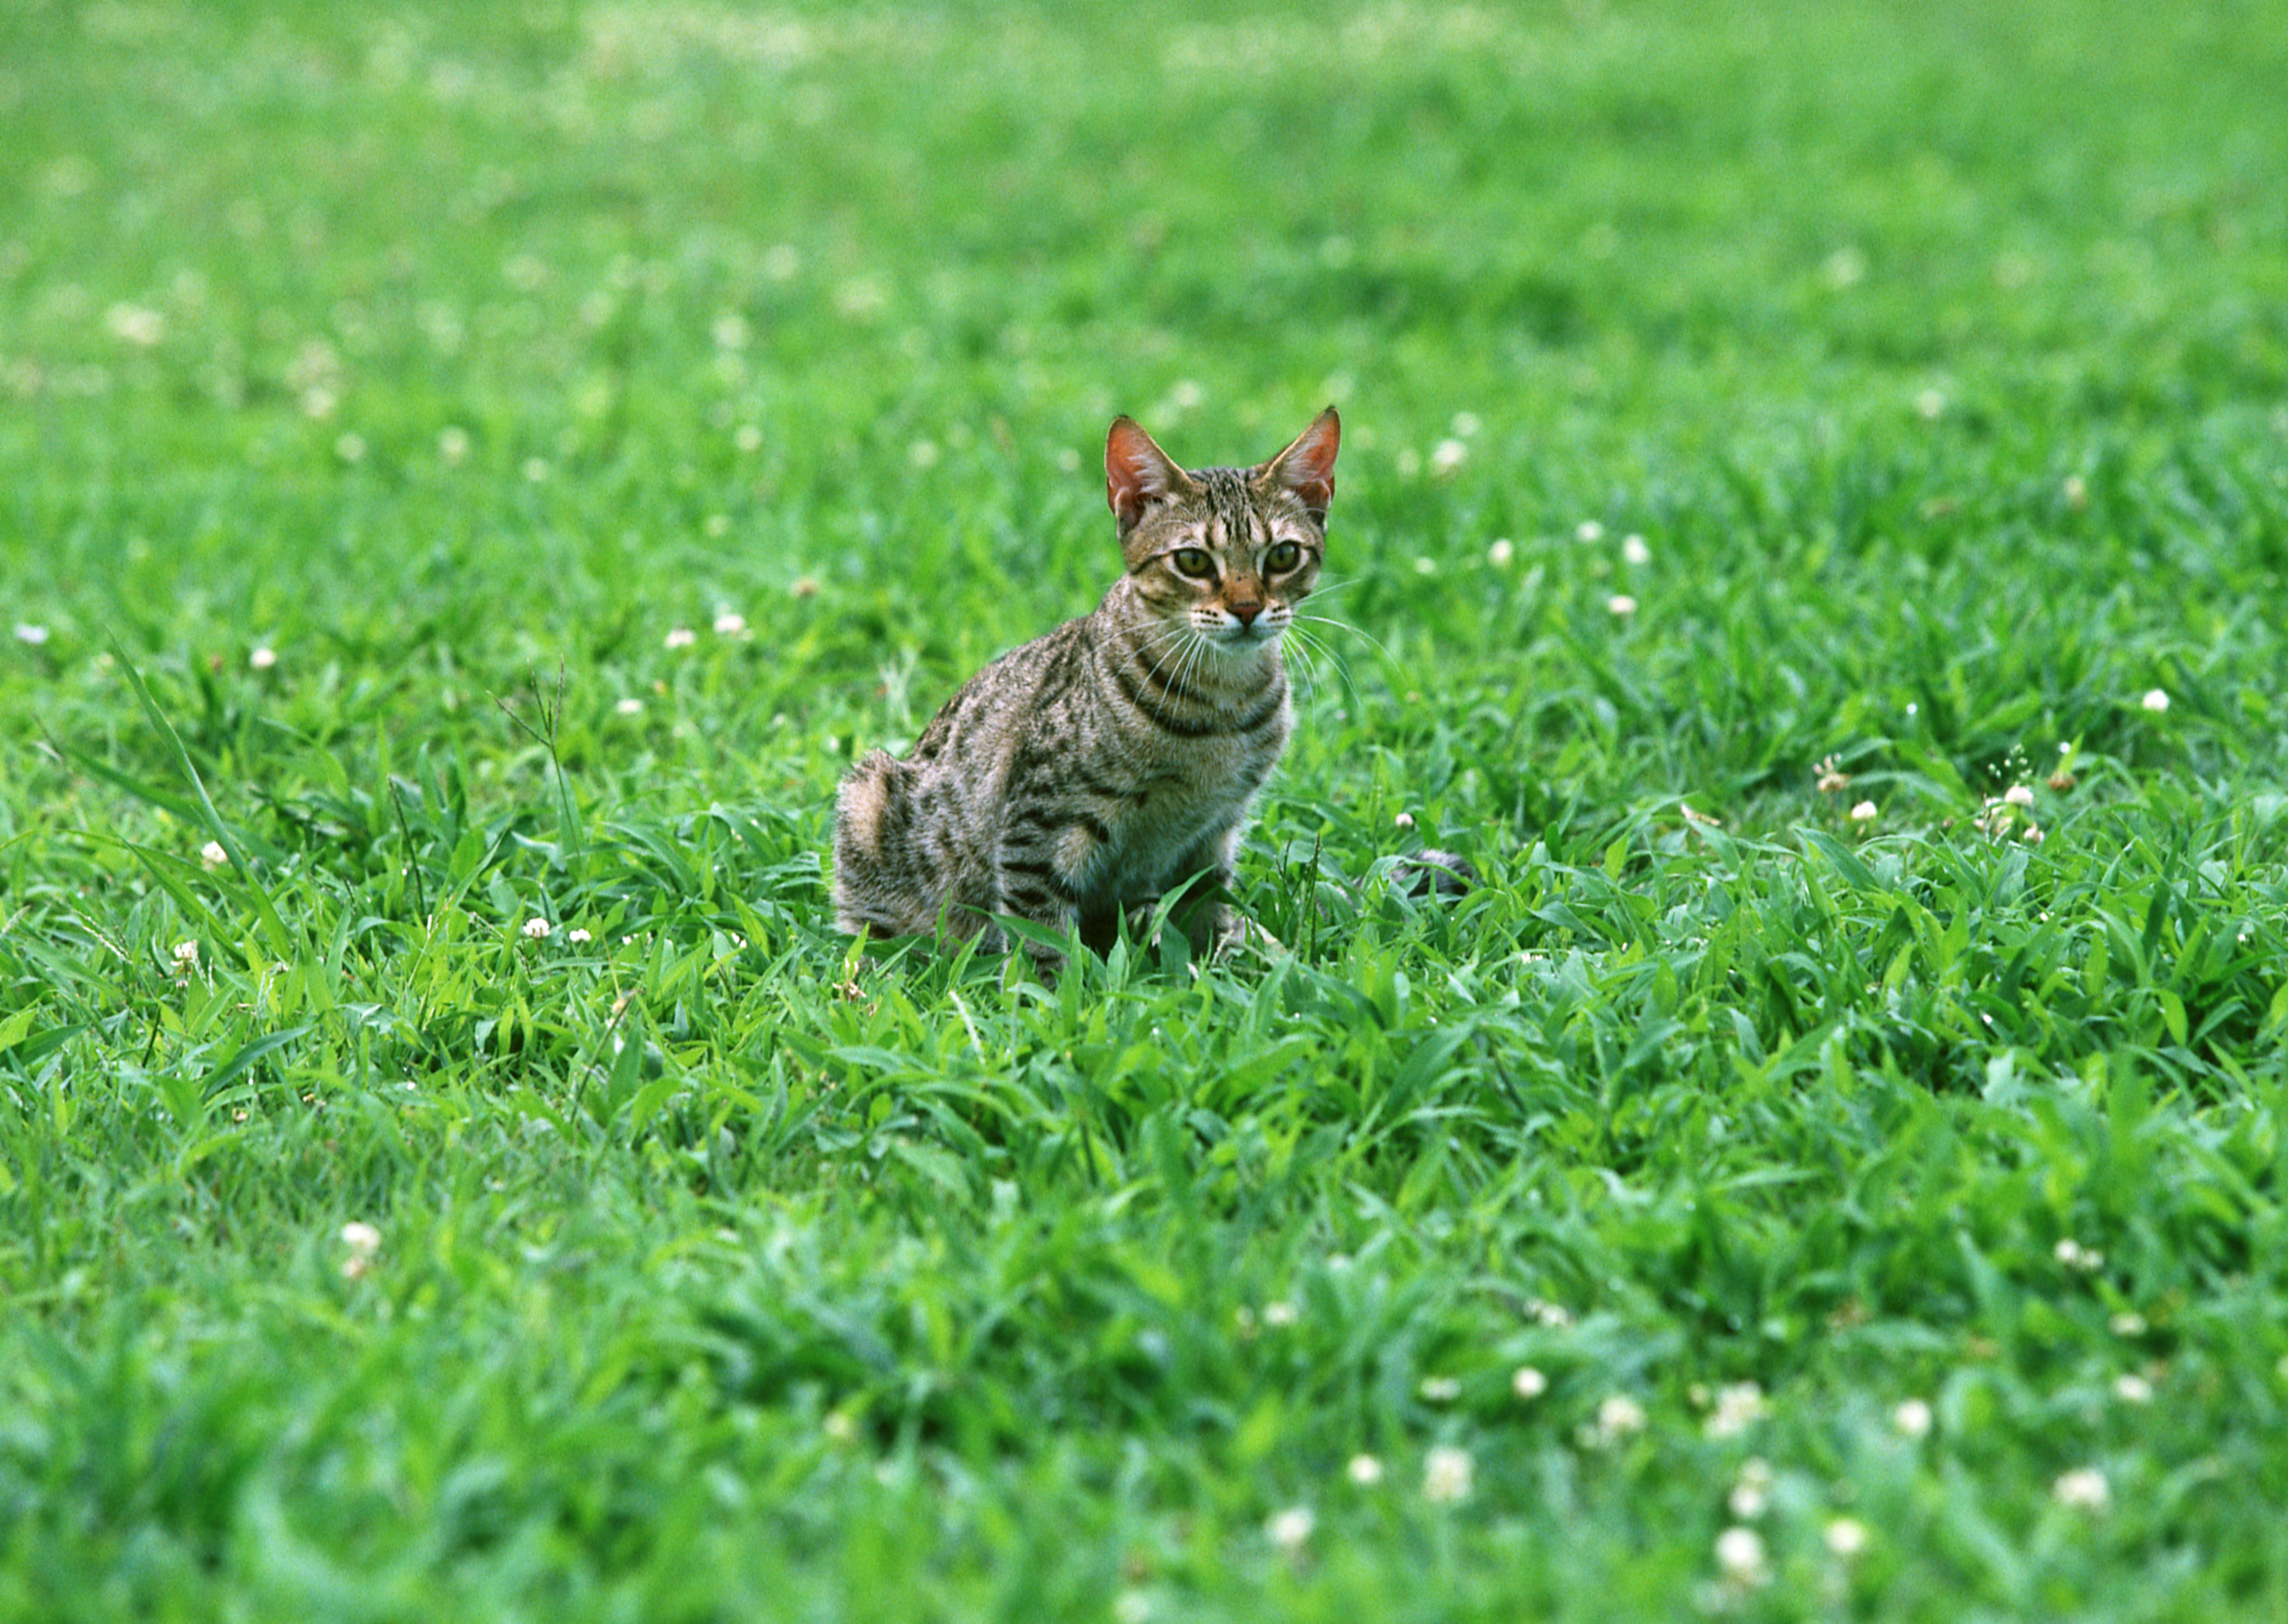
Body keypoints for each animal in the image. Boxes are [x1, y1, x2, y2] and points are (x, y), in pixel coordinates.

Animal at [837, 405, 1336, 979]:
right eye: (1192, 561)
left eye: (1282, 556)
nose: (1249, 608)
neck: (1221, 703)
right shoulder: (1038, 827)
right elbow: (1040, 937)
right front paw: (1050, 994)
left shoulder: (1213, 834)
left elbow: (1206, 914)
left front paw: (1220, 969)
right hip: (866, 795)